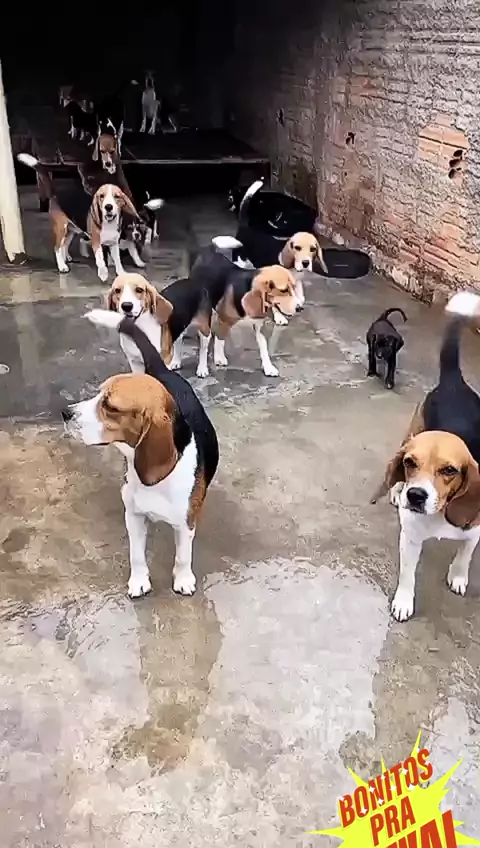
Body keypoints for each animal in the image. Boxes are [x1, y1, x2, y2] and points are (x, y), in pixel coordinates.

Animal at [62, 317, 219, 599]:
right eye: (98, 394)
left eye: (110, 407)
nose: (65, 413)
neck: (158, 481)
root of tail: (162, 370)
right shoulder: (133, 516)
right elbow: (136, 555)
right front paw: (139, 581)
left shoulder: (185, 523)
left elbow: (183, 555)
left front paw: (183, 579)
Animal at [371, 292, 480, 621]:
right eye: (410, 464)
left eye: (449, 470)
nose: (415, 495)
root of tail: (455, 382)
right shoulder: (410, 538)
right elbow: (408, 575)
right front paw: (404, 602)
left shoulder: (475, 531)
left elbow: (465, 555)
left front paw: (458, 576)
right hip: (411, 431)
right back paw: (395, 491)